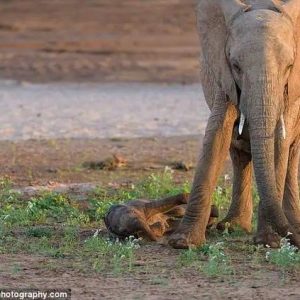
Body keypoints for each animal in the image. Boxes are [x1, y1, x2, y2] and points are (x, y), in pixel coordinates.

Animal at [169, 0, 300, 248]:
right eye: (236, 66)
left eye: (289, 66)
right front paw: (183, 242)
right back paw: (232, 226)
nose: (294, 239)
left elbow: (279, 143)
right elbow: (217, 133)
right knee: (239, 155)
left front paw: (268, 242)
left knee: (292, 155)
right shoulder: (224, 77)